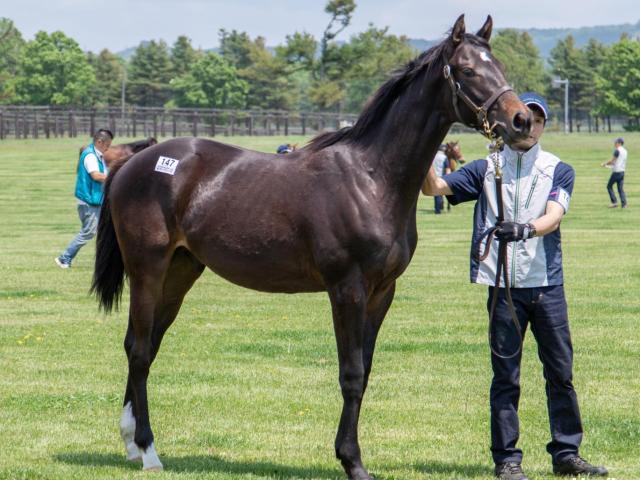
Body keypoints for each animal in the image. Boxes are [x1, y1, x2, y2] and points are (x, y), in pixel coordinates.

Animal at [90, 14, 528, 476]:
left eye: (499, 65)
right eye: (467, 70)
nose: (521, 121)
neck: (371, 178)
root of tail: (136, 161)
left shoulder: (382, 292)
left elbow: (364, 371)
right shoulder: (348, 289)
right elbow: (350, 374)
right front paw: (352, 461)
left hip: (180, 270)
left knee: (146, 343)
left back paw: (131, 442)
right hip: (147, 269)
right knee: (139, 349)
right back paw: (148, 450)